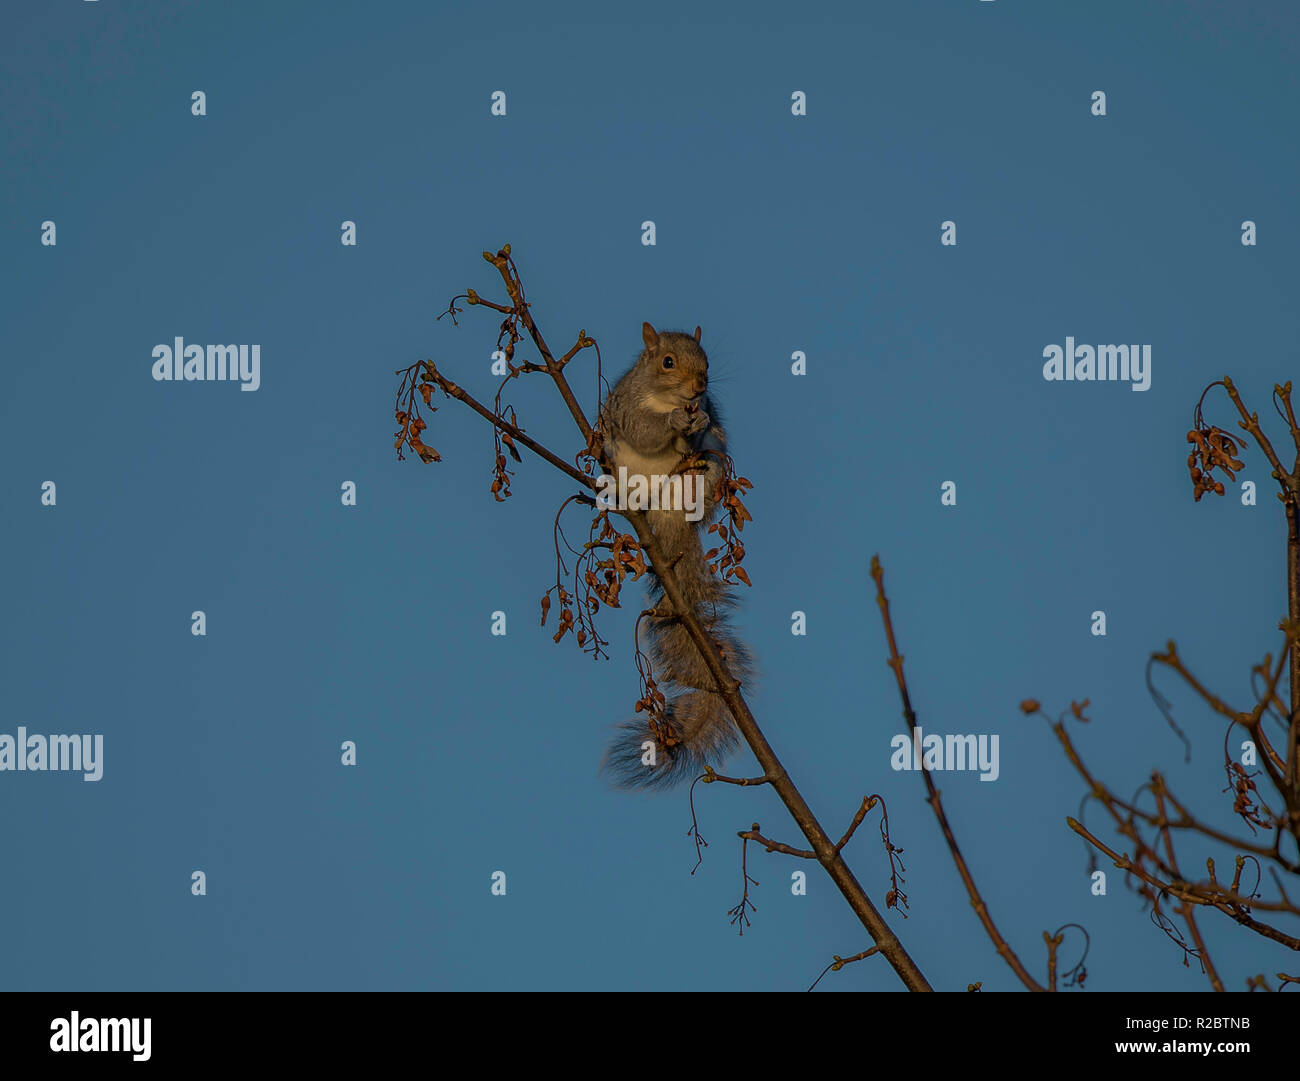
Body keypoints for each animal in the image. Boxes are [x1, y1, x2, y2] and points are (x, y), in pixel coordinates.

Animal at [598, 321, 755, 789]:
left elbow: (702, 427)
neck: (668, 397)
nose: (698, 387)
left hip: (706, 475)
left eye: (707, 361)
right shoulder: (628, 408)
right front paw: (670, 420)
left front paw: (697, 417)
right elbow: (645, 429)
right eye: (667, 362)